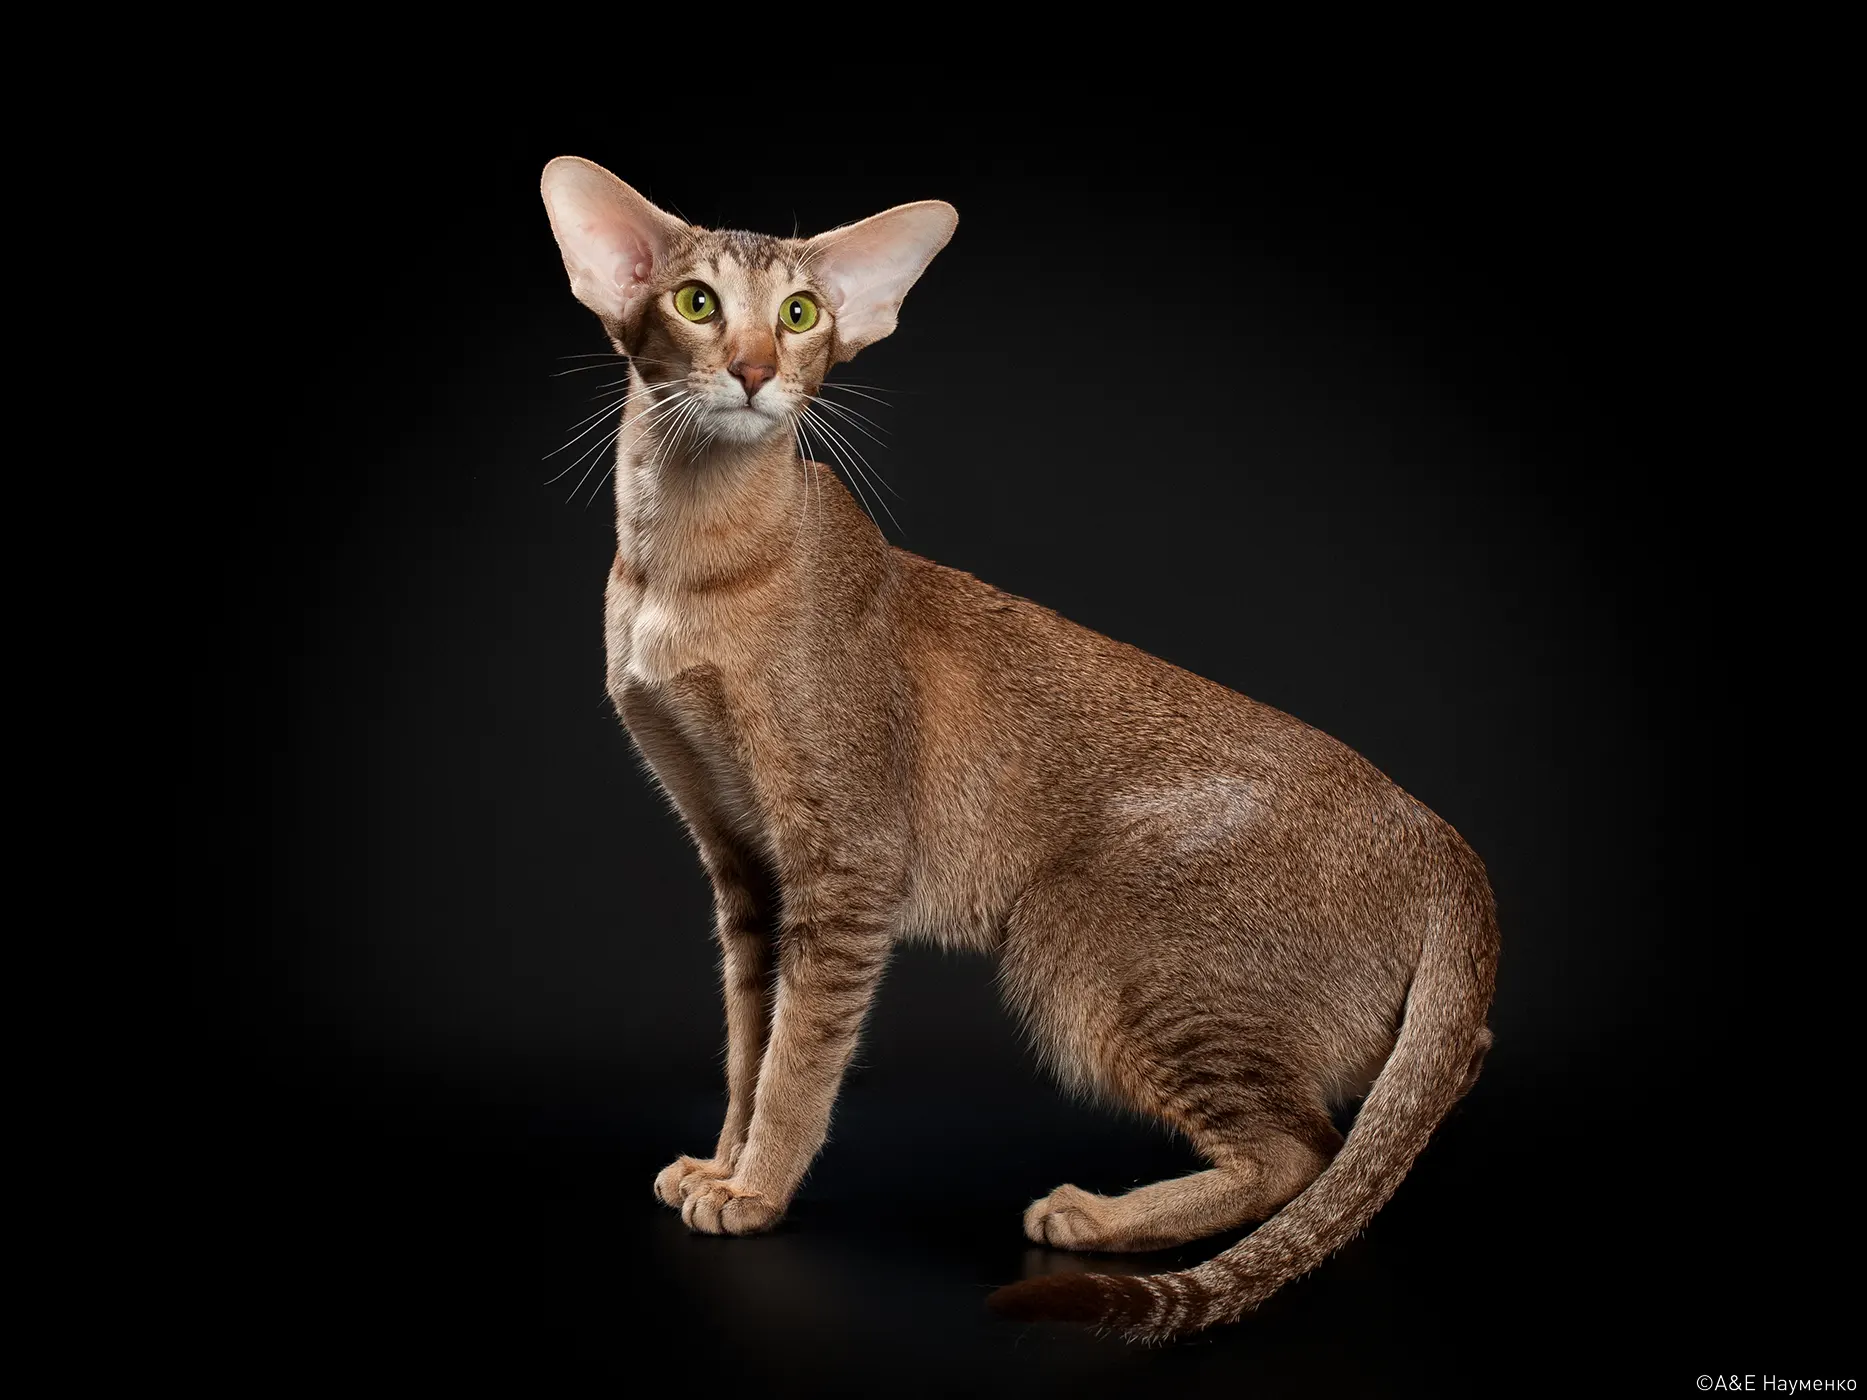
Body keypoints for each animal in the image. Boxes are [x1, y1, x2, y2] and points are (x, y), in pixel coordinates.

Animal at [538, 155, 1499, 1342]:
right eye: (696, 302)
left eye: (800, 314)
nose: (756, 371)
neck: (688, 559)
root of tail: (1449, 850)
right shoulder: (744, 866)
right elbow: (746, 1039)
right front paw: (720, 1163)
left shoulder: (846, 863)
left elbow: (799, 1052)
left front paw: (756, 1190)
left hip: (1081, 933)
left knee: (1302, 1149)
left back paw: (1096, 1217)